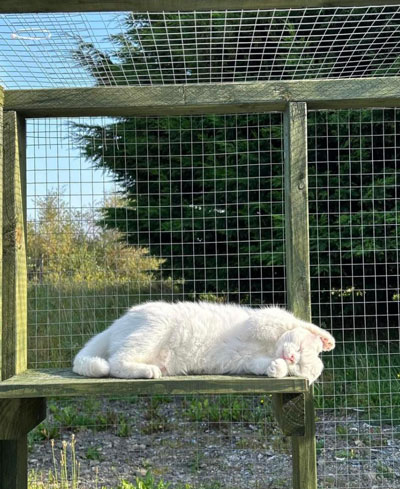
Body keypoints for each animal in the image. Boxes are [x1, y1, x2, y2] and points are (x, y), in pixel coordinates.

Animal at [72, 302, 334, 382]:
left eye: (297, 367)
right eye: (299, 349)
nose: (290, 357)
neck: (269, 348)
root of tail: (115, 324)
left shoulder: (249, 361)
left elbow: (263, 366)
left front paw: (276, 368)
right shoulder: (263, 320)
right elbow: (297, 322)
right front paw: (327, 338)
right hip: (154, 327)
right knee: (115, 363)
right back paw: (148, 371)